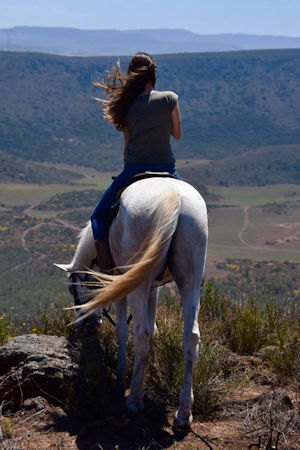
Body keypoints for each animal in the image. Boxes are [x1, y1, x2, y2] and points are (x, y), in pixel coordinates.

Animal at [55, 177, 207, 428]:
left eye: (71, 288)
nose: (85, 326)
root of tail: (174, 198)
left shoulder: (123, 285)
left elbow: (124, 331)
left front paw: (120, 377)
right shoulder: (153, 290)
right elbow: (155, 328)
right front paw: (154, 370)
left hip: (137, 282)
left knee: (140, 332)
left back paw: (135, 398)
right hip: (190, 279)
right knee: (191, 337)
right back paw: (184, 412)